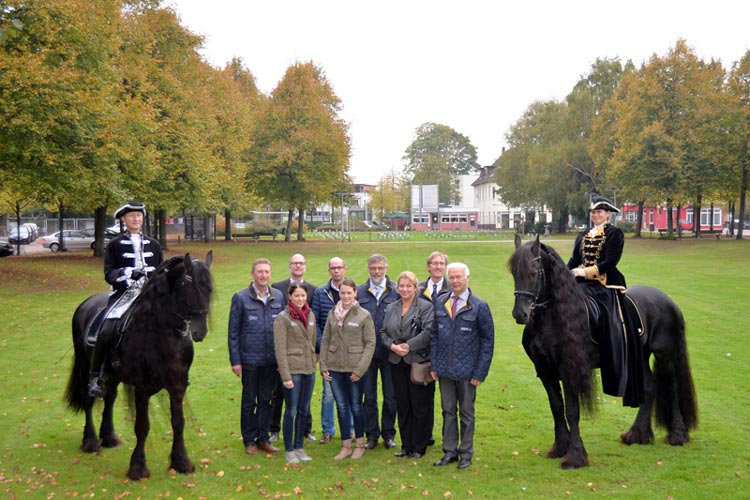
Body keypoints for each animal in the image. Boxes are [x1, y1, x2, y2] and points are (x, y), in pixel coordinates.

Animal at [64, 254, 214, 480]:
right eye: (188, 284)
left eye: (209, 288)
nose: (200, 331)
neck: (161, 333)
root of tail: (85, 304)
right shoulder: (142, 389)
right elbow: (142, 426)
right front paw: (138, 467)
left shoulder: (177, 387)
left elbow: (178, 423)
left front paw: (181, 461)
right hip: (85, 365)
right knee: (88, 399)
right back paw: (90, 441)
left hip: (113, 374)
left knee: (109, 398)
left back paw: (108, 437)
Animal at [508, 237, 704, 468]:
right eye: (514, 273)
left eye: (533, 272)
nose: (520, 314)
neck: (550, 319)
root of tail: (670, 302)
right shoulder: (545, 370)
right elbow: (556, 408)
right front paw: (560, 448)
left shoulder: (569, 369)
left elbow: (572, 411)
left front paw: (575, 456)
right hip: (640, 356)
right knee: (650, 387)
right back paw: (637, 435)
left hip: (665, 355)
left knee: (671, 388)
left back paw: (677, 435)